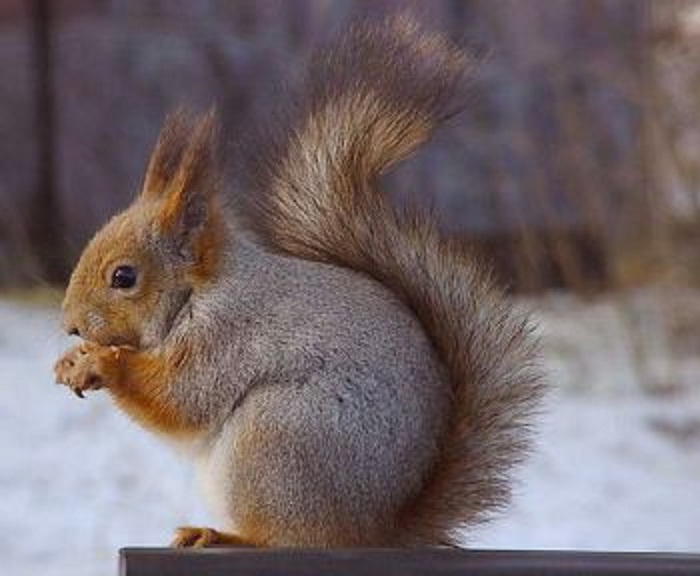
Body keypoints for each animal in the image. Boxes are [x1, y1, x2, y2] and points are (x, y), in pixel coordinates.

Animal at [53, 15, 542, 548]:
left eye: (124, 277)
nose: (70, 325)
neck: (198, 293)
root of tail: (376, 529)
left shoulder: (224, 338)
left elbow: (181, 399)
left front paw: (101, 363)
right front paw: (72, 359)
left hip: (277, 438)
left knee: (287, 538)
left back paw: (221, 536)